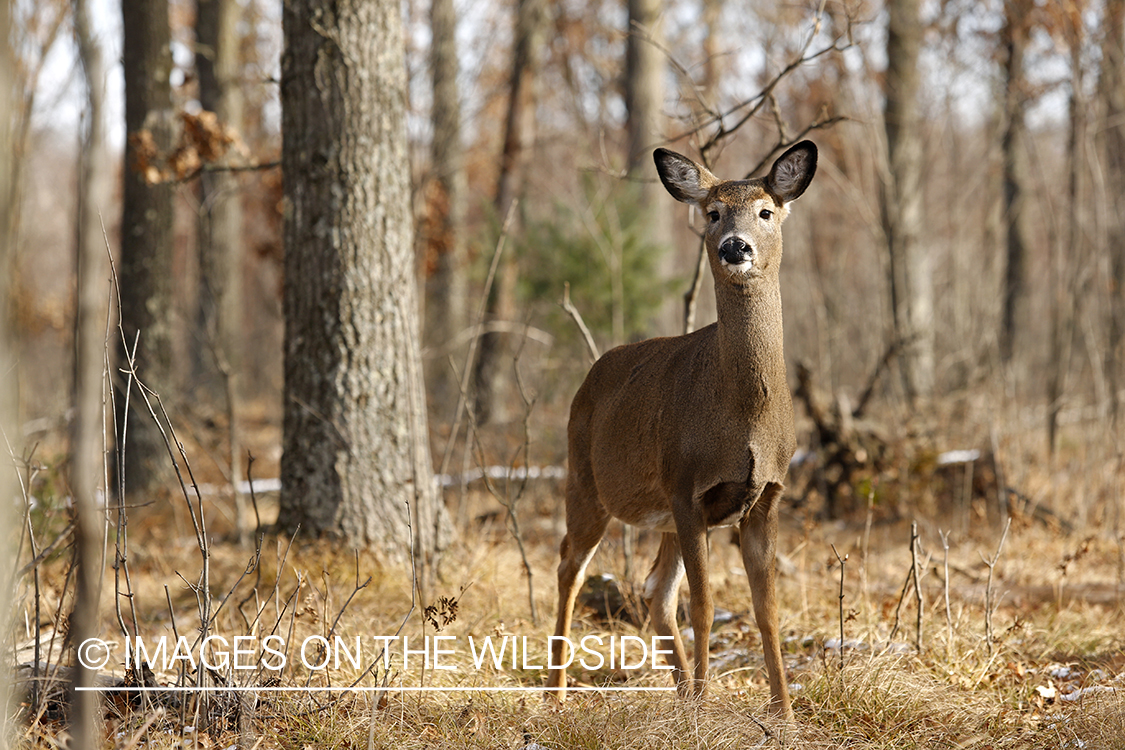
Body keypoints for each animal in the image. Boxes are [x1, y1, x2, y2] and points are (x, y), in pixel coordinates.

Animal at [546, 142, 819, 719]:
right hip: (587, 479)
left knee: (655, 590)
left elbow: (766, 609)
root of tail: (590, 377)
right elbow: (707, 605)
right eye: (712, 213)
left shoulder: (767, 495)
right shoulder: (688, 486)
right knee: (569, 566)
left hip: (663, 513)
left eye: (766, 211)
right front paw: (712, 704)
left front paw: (784, 713)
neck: (744, 416)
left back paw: (684, 696)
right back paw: (555, 694)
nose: (735, 246)